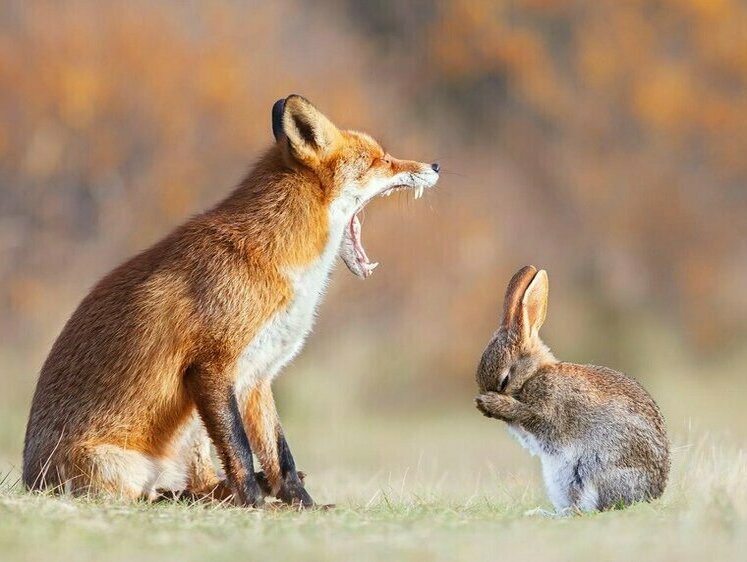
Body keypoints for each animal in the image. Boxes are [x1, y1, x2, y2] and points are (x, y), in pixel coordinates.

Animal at [23, 94, 442, 506]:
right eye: (380, 159)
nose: (436, 165)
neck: (279, 261)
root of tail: (30, 481)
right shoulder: (212, 366)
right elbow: (239, 449)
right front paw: (254, 504)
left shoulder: (257, 374)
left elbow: (280, 455)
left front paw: (302, 505)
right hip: (125, 464)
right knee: (151, 495)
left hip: (191, 428)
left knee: (201, 483)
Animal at [476, 264, 668, 510]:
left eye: (504, 380)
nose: (483, 403)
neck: (534, 374)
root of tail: (651, 494)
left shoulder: (547, 411)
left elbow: (530, 415)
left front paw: (492, 403)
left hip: (591, 468)